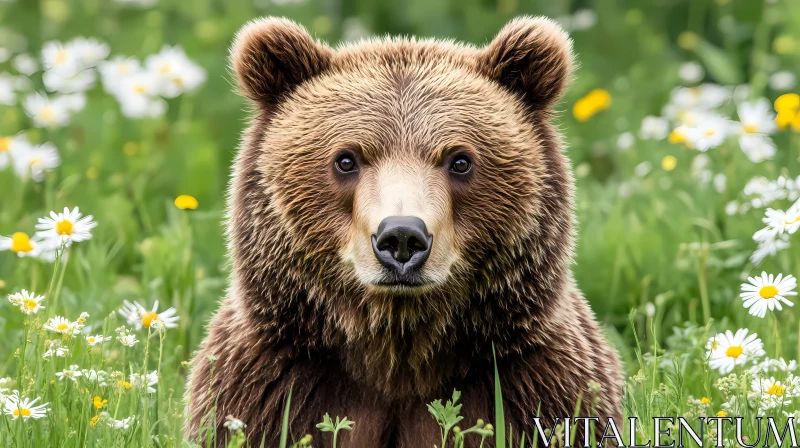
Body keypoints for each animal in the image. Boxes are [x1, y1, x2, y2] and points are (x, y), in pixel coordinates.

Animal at [186, 15, 624, 446]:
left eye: (460, 160)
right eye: (346, 159)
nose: (401, 237)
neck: (397, 353)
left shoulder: (533, 380)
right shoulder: (271, 382)